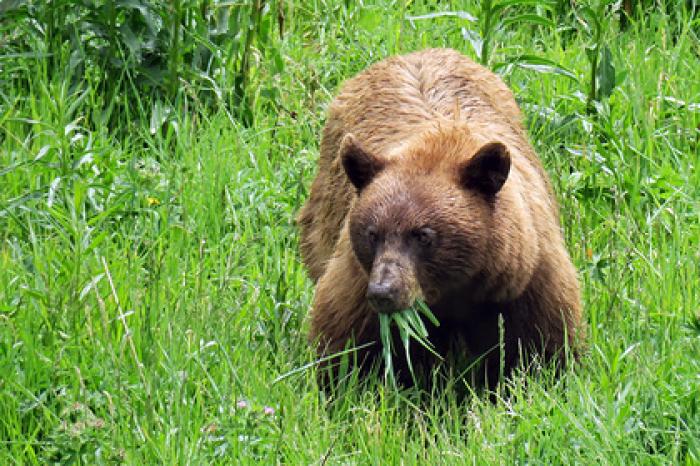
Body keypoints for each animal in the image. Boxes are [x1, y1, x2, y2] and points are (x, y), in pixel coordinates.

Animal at [298, 49, 584, 388]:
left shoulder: (528, 279)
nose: (383, 292)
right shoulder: (355, 281)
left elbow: (541, 347)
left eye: (423, 234)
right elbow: (347, 346)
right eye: (372, 233)